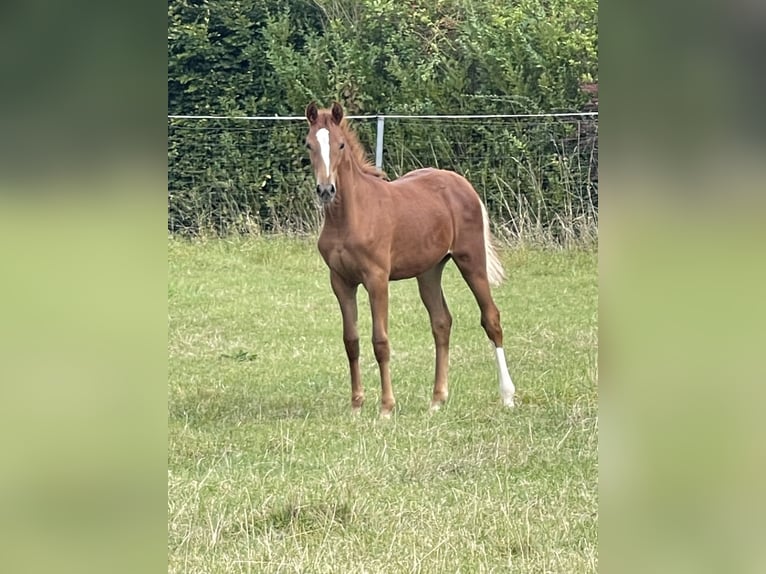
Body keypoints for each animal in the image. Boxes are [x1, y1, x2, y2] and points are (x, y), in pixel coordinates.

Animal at [304, 102, 516, 418]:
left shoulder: (377, 279)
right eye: (309, 145)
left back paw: (508, 396)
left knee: (491, 318)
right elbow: (351, 341)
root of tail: (463, 184)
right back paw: (437, 399)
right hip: (429, 270)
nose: (326, 190)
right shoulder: (341, 282)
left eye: (340, 144)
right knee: (441, 322)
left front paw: (386, 407)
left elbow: (380, 341)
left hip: (471, 260)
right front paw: (356, 405)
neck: (349, 218)